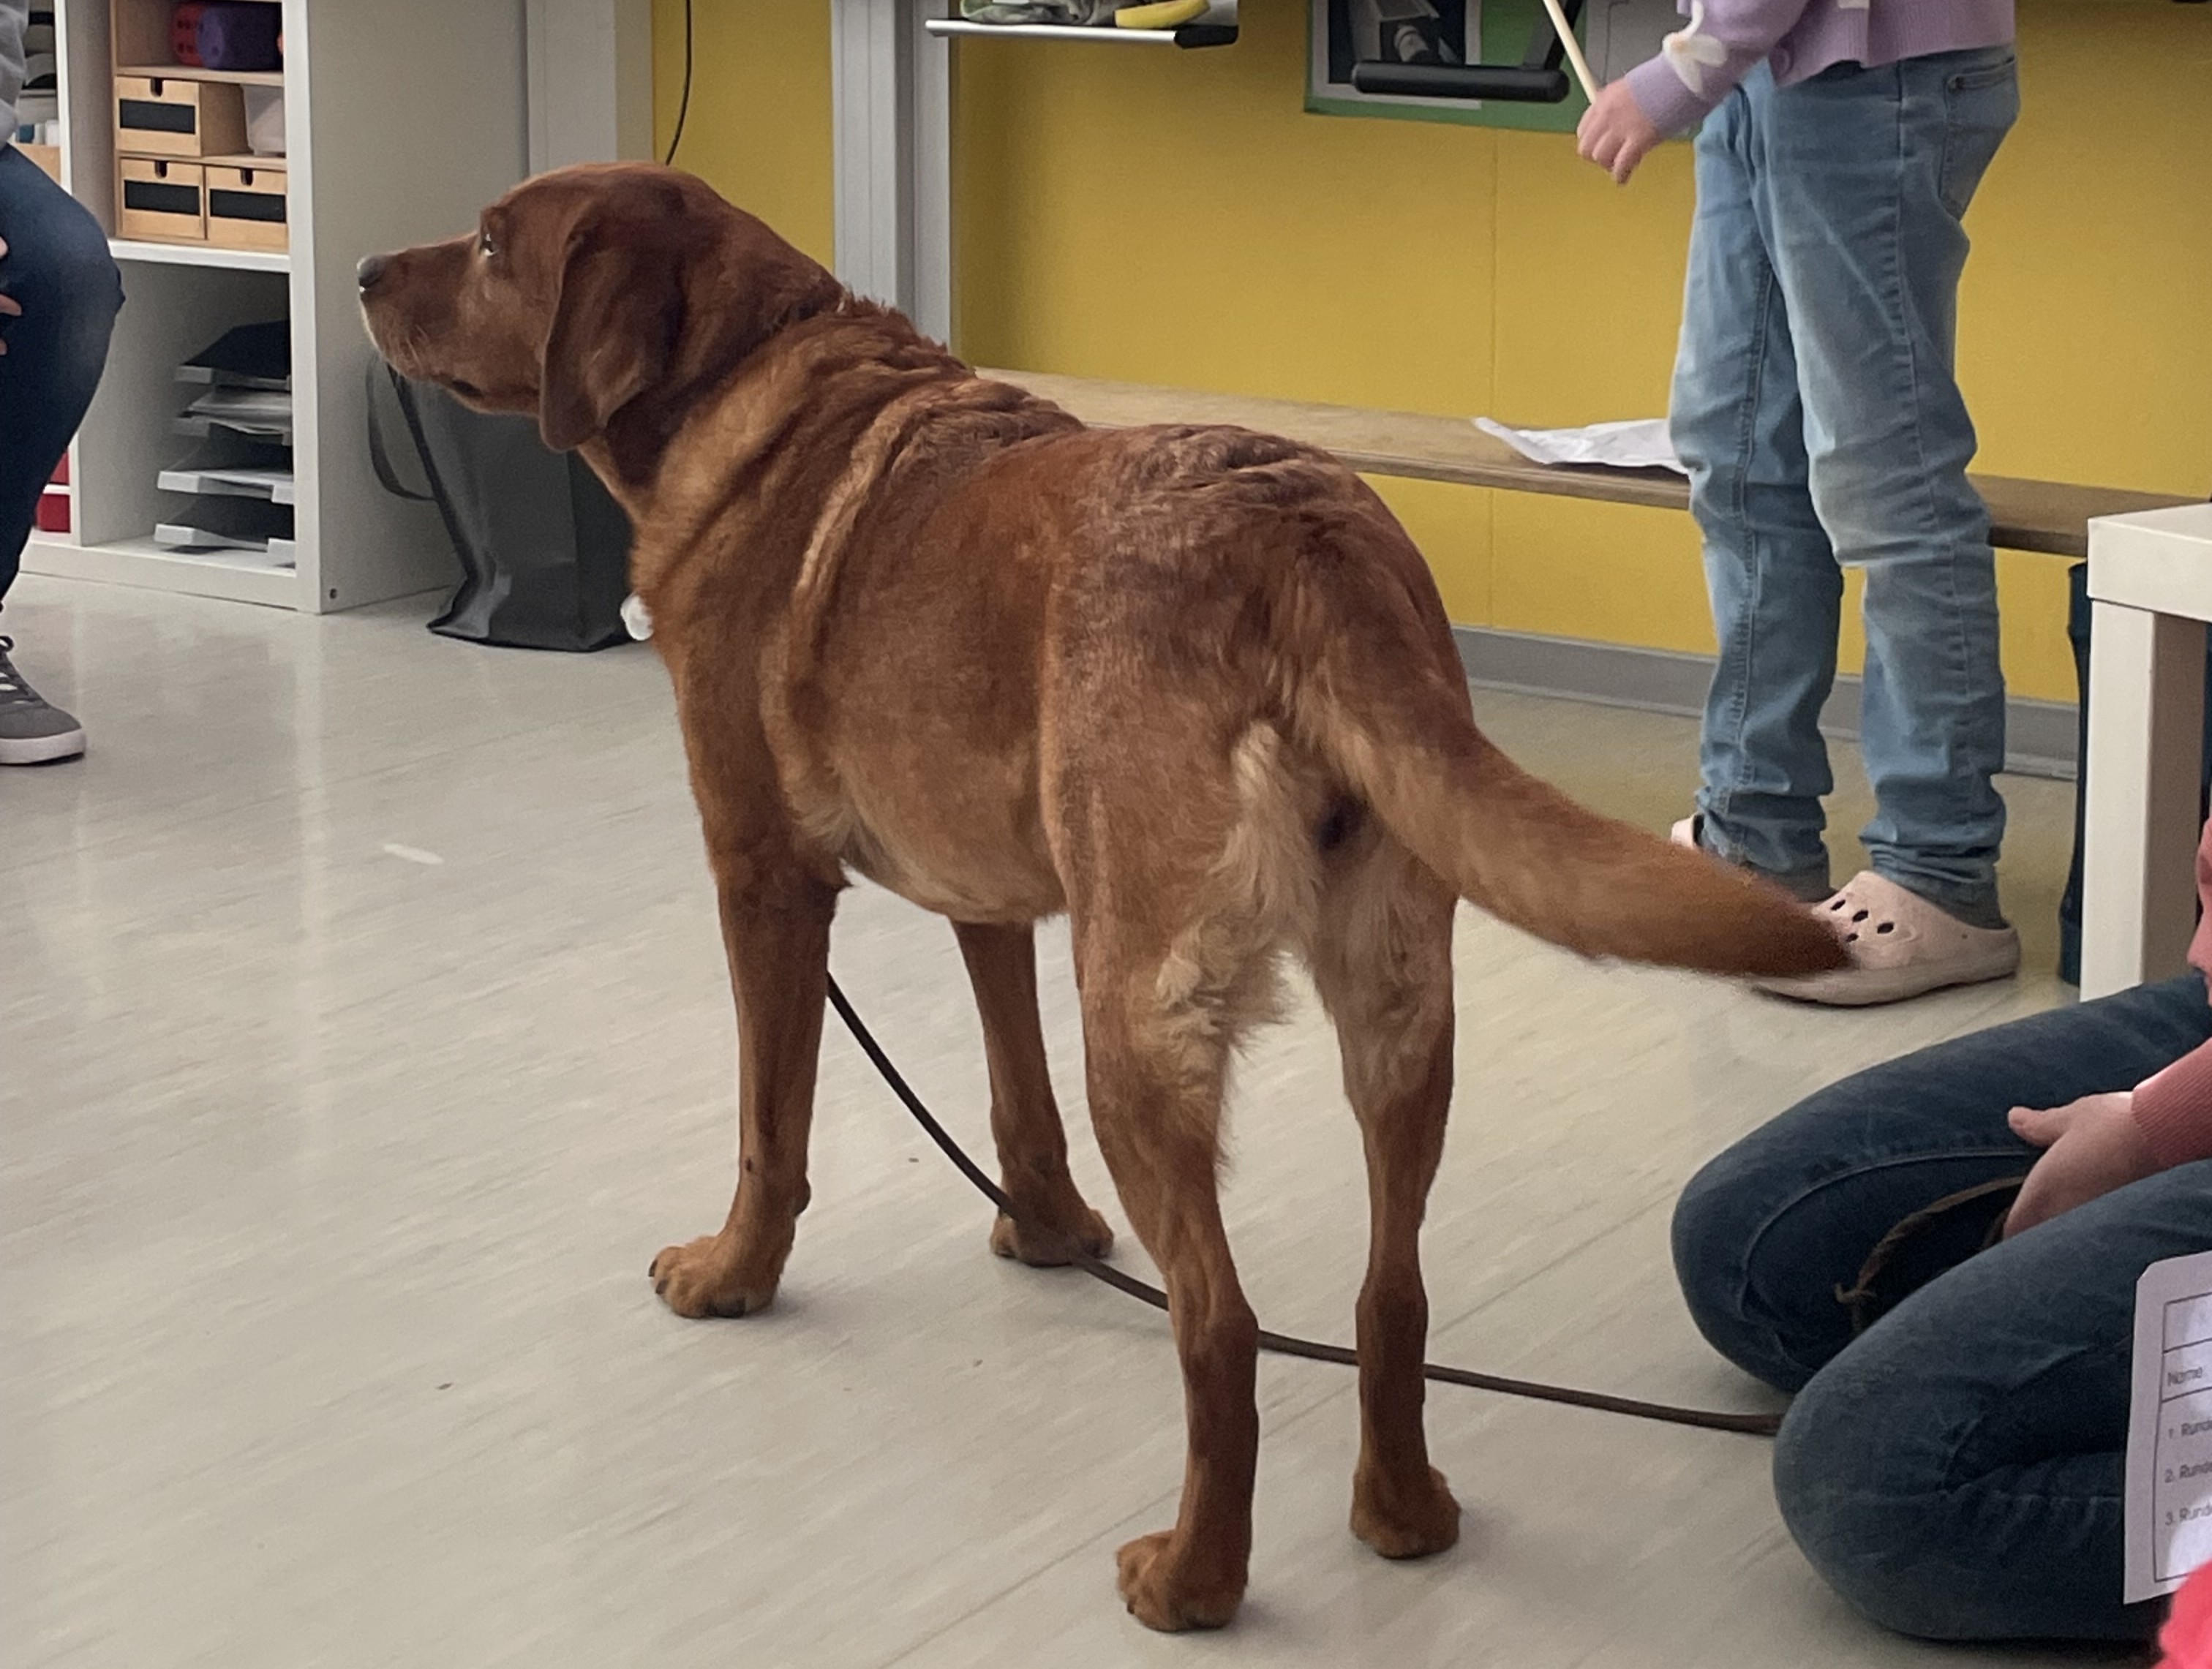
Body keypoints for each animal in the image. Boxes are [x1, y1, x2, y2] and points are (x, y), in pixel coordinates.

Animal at [360, 163, 1842, 1633]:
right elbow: (1015, 1089)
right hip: (1397, 1007)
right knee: (1390, 1290)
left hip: (1140, 1020)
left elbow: (767, 1129)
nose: (366, 271)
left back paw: (1193, 1579)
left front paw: (734, 1273)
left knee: (1220, 1325)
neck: (745, 378)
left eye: (489, 242)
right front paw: (1051, 1232)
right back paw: (1402, 1512)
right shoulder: (1000, 898)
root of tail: (1292, 531)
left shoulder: (761, 875)